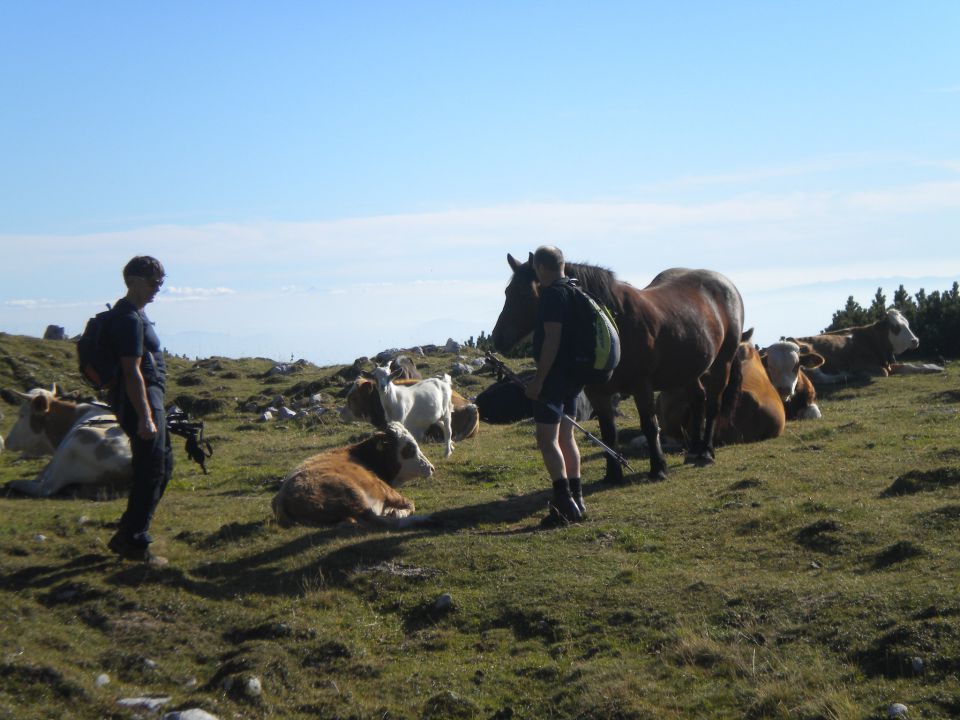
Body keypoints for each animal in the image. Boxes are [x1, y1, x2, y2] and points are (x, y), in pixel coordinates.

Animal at [270, 422, 436, 528]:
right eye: (409, 448)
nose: (431, 468)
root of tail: (282, 496)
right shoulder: (384, 488)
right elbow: (410, 504)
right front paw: (396, 512)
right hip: (352, 495)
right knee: (379, 521)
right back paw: (423, 519)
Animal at [492, 255, 748, 484]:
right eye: (507, 292)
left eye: (524, 294)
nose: (497, 337)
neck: (611, 322)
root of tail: (727, 285)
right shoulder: (597, 393)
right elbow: (608, 432)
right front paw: (613, 475)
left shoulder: (641, 385)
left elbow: (649, 426)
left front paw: (658, 468)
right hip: (687, 370)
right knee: (697, 400)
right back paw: (694, 450)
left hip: (721, 364)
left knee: (713, 405)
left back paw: (705, 452)